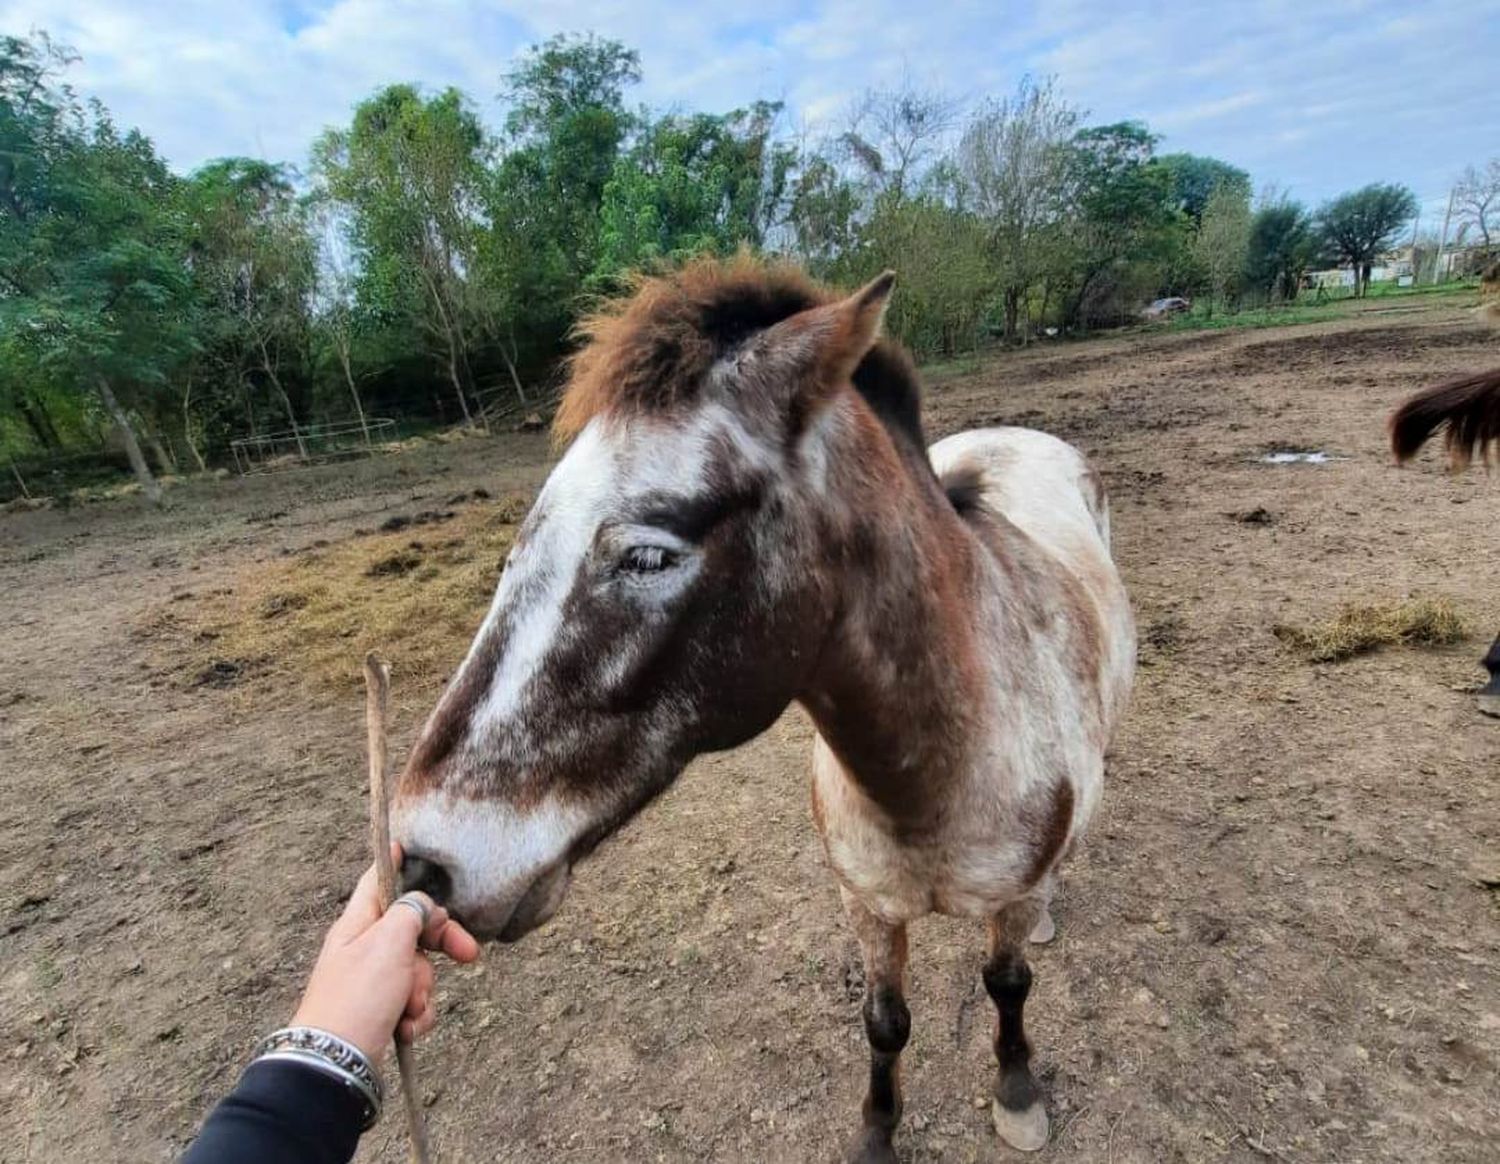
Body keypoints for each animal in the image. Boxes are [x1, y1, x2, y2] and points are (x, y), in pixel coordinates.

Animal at [393, 259, 1128, 1158]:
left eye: (648, 556)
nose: (422, 860)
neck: (936, 782)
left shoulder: (1008, 902)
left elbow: (1009, 983)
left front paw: (1018, 1093)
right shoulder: (866, 907)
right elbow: (886, 1022)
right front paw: (876, 1132)